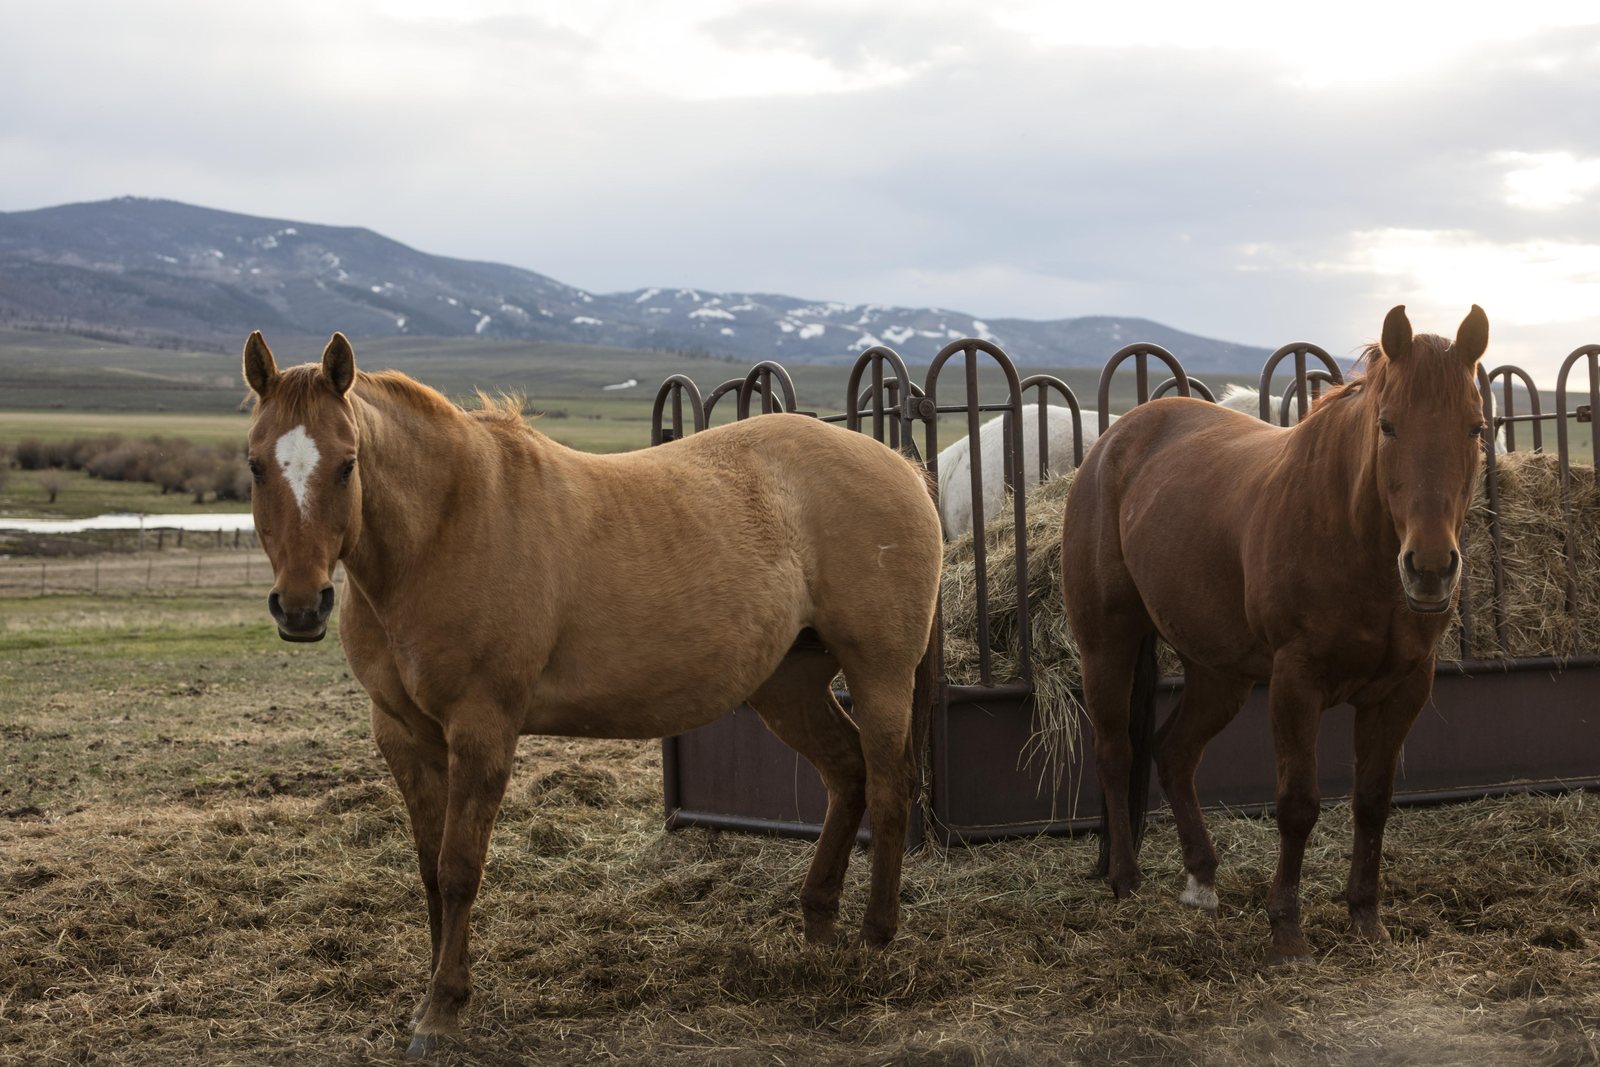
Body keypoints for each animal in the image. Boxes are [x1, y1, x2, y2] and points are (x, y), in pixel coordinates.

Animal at [240, 332, 943, 1056]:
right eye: (257, 464)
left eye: (347, 465)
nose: (301, 606)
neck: (442, 530)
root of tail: (900, 467)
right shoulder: (404, 735)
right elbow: (431, 870)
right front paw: (435, 995)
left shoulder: (482, 727)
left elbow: (461, 865)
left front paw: (442, 1010)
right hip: (788, 686)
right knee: (848, 775)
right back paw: (818, 925)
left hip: (880, 674)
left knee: (888, 788)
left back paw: (876, 938)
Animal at [1061, 306, 1489, 964]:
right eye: (1388, 427)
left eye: (1475, 427)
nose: (1431, 567)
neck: (1350, 535)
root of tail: (1114, 441)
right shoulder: (1295, 682)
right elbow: (1297, 806)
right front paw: (1287, 932)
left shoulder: (1403, 690)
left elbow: (1373, 802)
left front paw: (1366, 918)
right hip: (1107, 644)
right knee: (1115, 752)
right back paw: (1125, 881)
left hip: (1219, 674)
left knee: (1173, 751)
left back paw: (1202, 879)